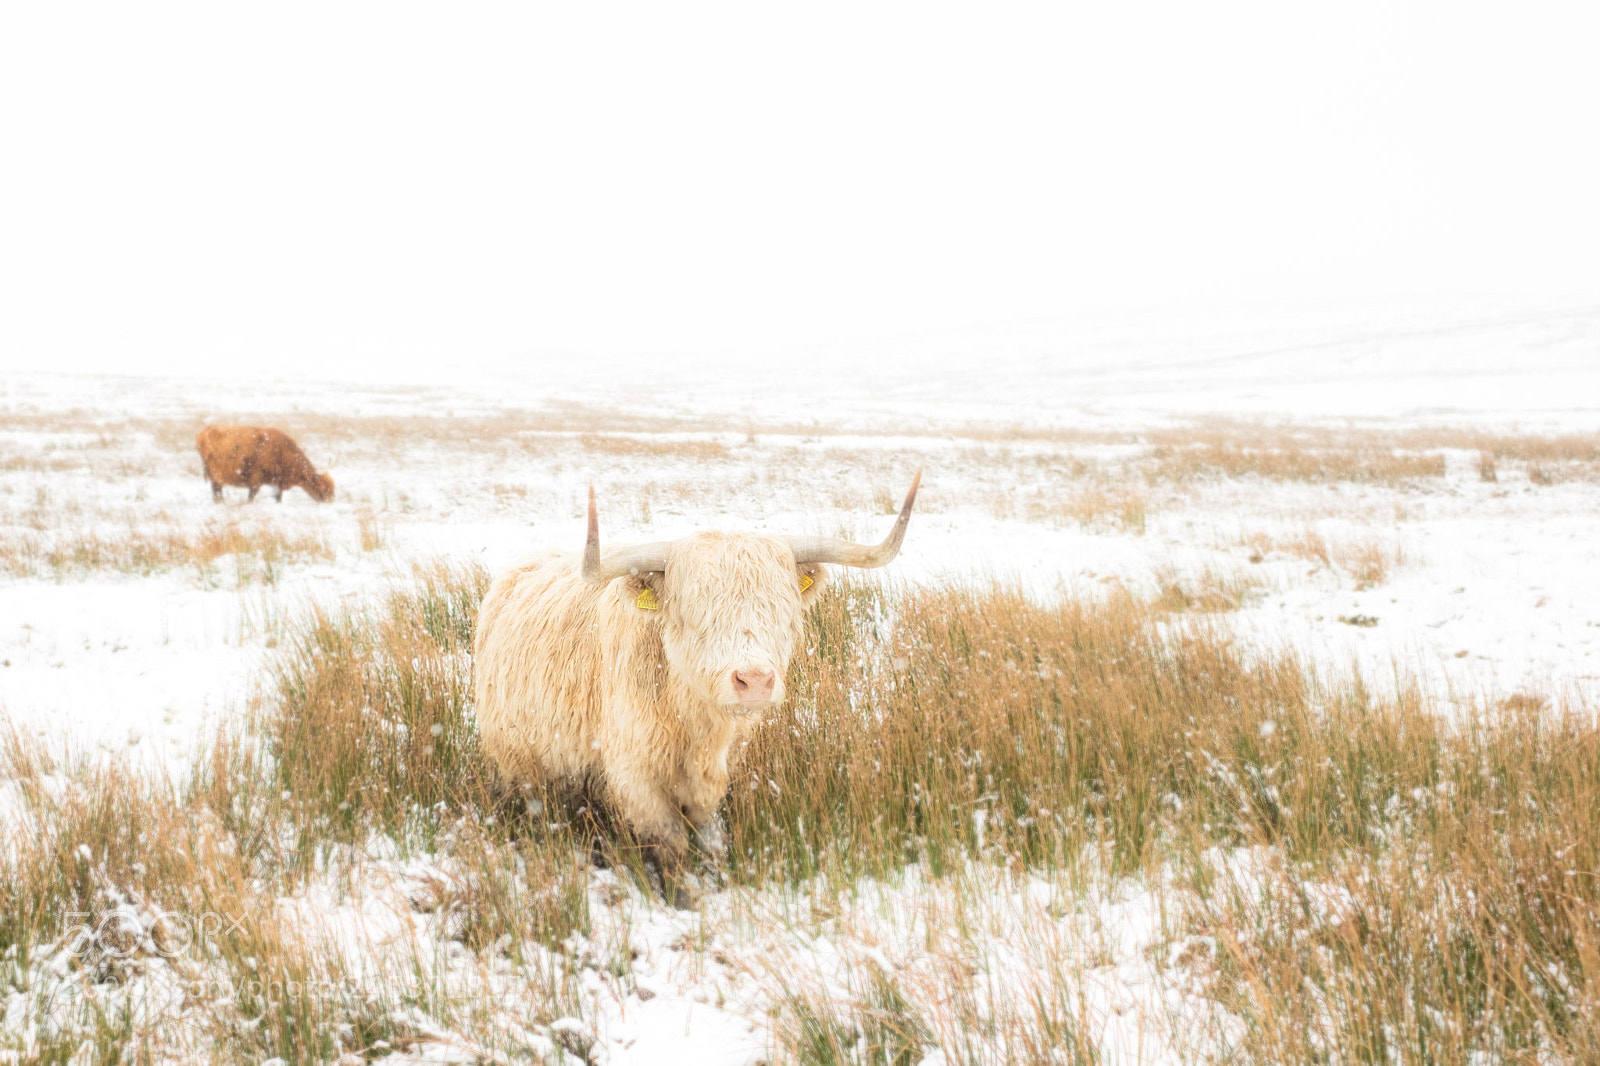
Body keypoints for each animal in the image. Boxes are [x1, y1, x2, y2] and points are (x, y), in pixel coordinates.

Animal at [195, 424, 335, 504]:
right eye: (323, 488)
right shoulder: (256, 478)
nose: (329, 502)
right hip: (214, 474)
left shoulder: (277, 482)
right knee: (216, 491)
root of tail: (204, 431)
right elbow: (251, 496)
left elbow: (278, 497)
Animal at [472, 470, 921, 895]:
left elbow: (709, 837)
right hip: (519, 761)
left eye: (785, 610)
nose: (754, 680)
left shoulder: (715, 772)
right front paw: (682, 896)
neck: (691, 720)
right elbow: (670, 841)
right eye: (693, 611)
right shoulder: (635, 774)